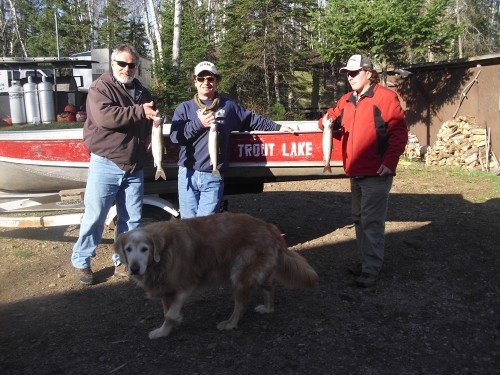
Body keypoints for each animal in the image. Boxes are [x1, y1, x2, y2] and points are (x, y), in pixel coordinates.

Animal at [114, 213, 318, 340]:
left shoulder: (183, 286)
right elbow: (167, 313)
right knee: (269, 288)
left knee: (241, 305)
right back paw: (268, 308)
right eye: (128, 249)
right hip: (255, 273)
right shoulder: (166, 290)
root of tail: (269, 227)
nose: (134, 268)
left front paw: (173, 323)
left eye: (144, 249)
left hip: (239, 275)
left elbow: (171, 314)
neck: (163, 253)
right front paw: (164, 331)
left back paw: (230, 323)